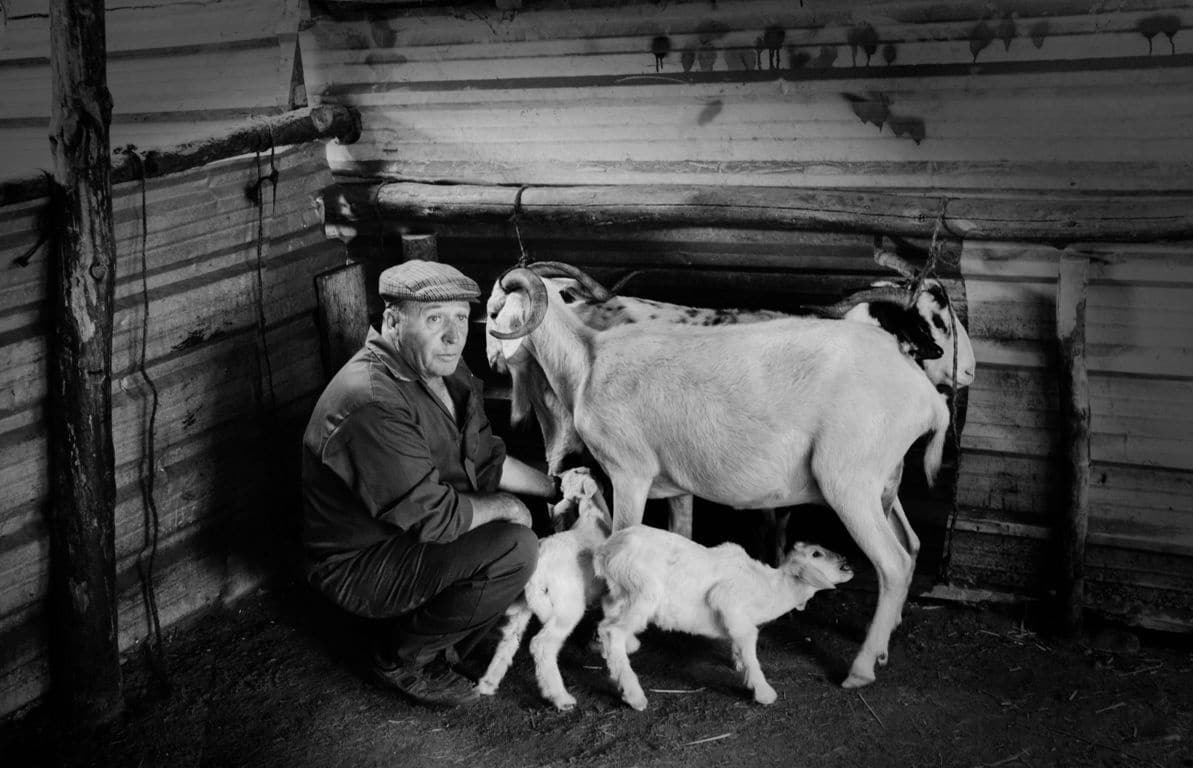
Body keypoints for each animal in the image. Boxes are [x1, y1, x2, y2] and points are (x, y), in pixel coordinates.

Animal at [474, 465, 610, 710]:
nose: (558, 478)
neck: (592, 514)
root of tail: (538, 569)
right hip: (567, 607)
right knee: (541, 645)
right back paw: (560, 697)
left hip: (523, 605)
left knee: (509, 639)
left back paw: (488, 684)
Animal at [484, 267, 949, 686]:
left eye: (495, 311)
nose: (492, 360)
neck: (587, 360)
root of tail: (929, 399)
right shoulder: (675, 485)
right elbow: (681, 537)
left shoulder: (628, 471)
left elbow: (619, 538)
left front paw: (611, 638)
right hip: (883, 483)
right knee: (911, 546)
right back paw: (884, 646)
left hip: (850, 481)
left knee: (893, 563)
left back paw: (861, 669)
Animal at [594, 527, 854, 705]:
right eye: (816, 554)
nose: (845, 560)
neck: (769, 588)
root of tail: (605, 551)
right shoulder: (729, 601)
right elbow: (748, 642)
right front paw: (763, 692)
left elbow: (738, 641)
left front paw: (738, 662)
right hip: (644, 590)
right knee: (612, 630)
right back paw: (633, 694)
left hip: (623, 591)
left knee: (607, 613)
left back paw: (624, 646)